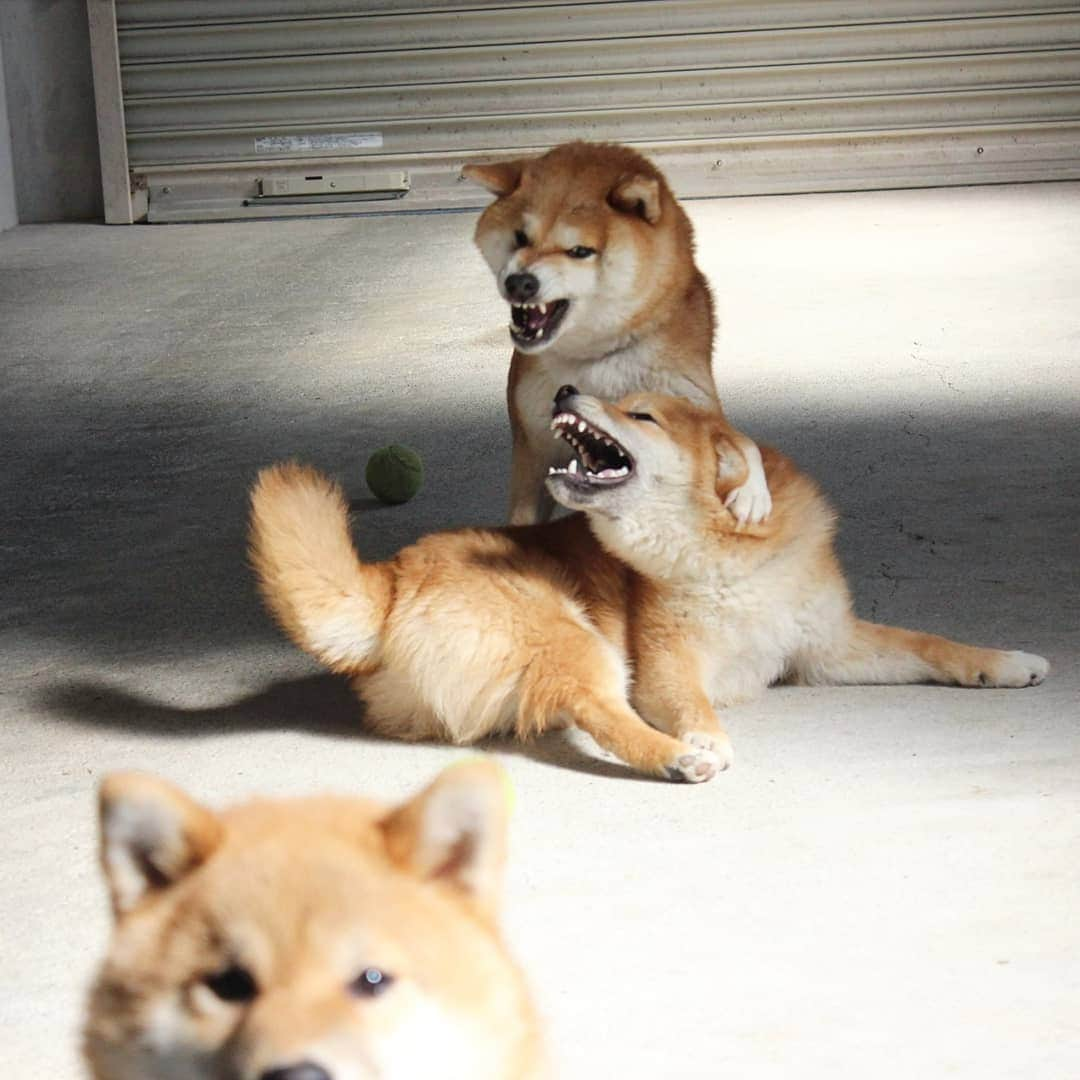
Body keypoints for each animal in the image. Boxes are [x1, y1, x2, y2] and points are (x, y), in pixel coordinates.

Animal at [247, 393, 1045, 781]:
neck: (724, 561)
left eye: (641, 413)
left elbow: (933, 645)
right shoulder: (666, 665)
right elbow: (691, 702)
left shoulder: (828, 649)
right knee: (602, 712)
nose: (566, 386)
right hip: (580, 640)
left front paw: (1006, 663)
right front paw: (702, 733)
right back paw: (677, 757)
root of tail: (389, 580)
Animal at [460, 141, 773, 529]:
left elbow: (744, 441)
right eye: (520, 237)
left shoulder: (692, 397)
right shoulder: (532, 448)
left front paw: (752, 492)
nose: (520, 283)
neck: (595, 358)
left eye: (580, 251)